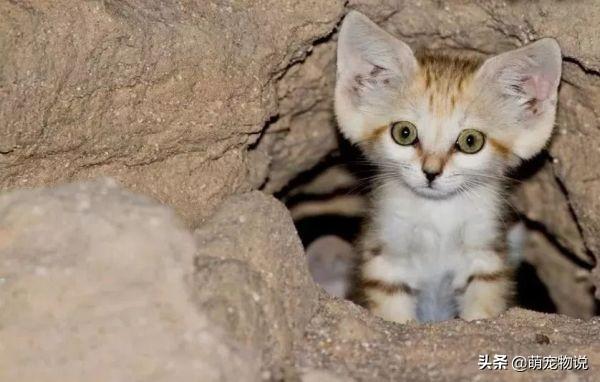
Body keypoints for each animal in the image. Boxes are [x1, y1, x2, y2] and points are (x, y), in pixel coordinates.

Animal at [336, 11, 560, 322]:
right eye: (404, 133)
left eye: (470, 141)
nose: (431, 172)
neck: (437, 214)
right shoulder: (385, 260)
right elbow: (394, 314)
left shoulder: (485, 258)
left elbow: (481, 308)